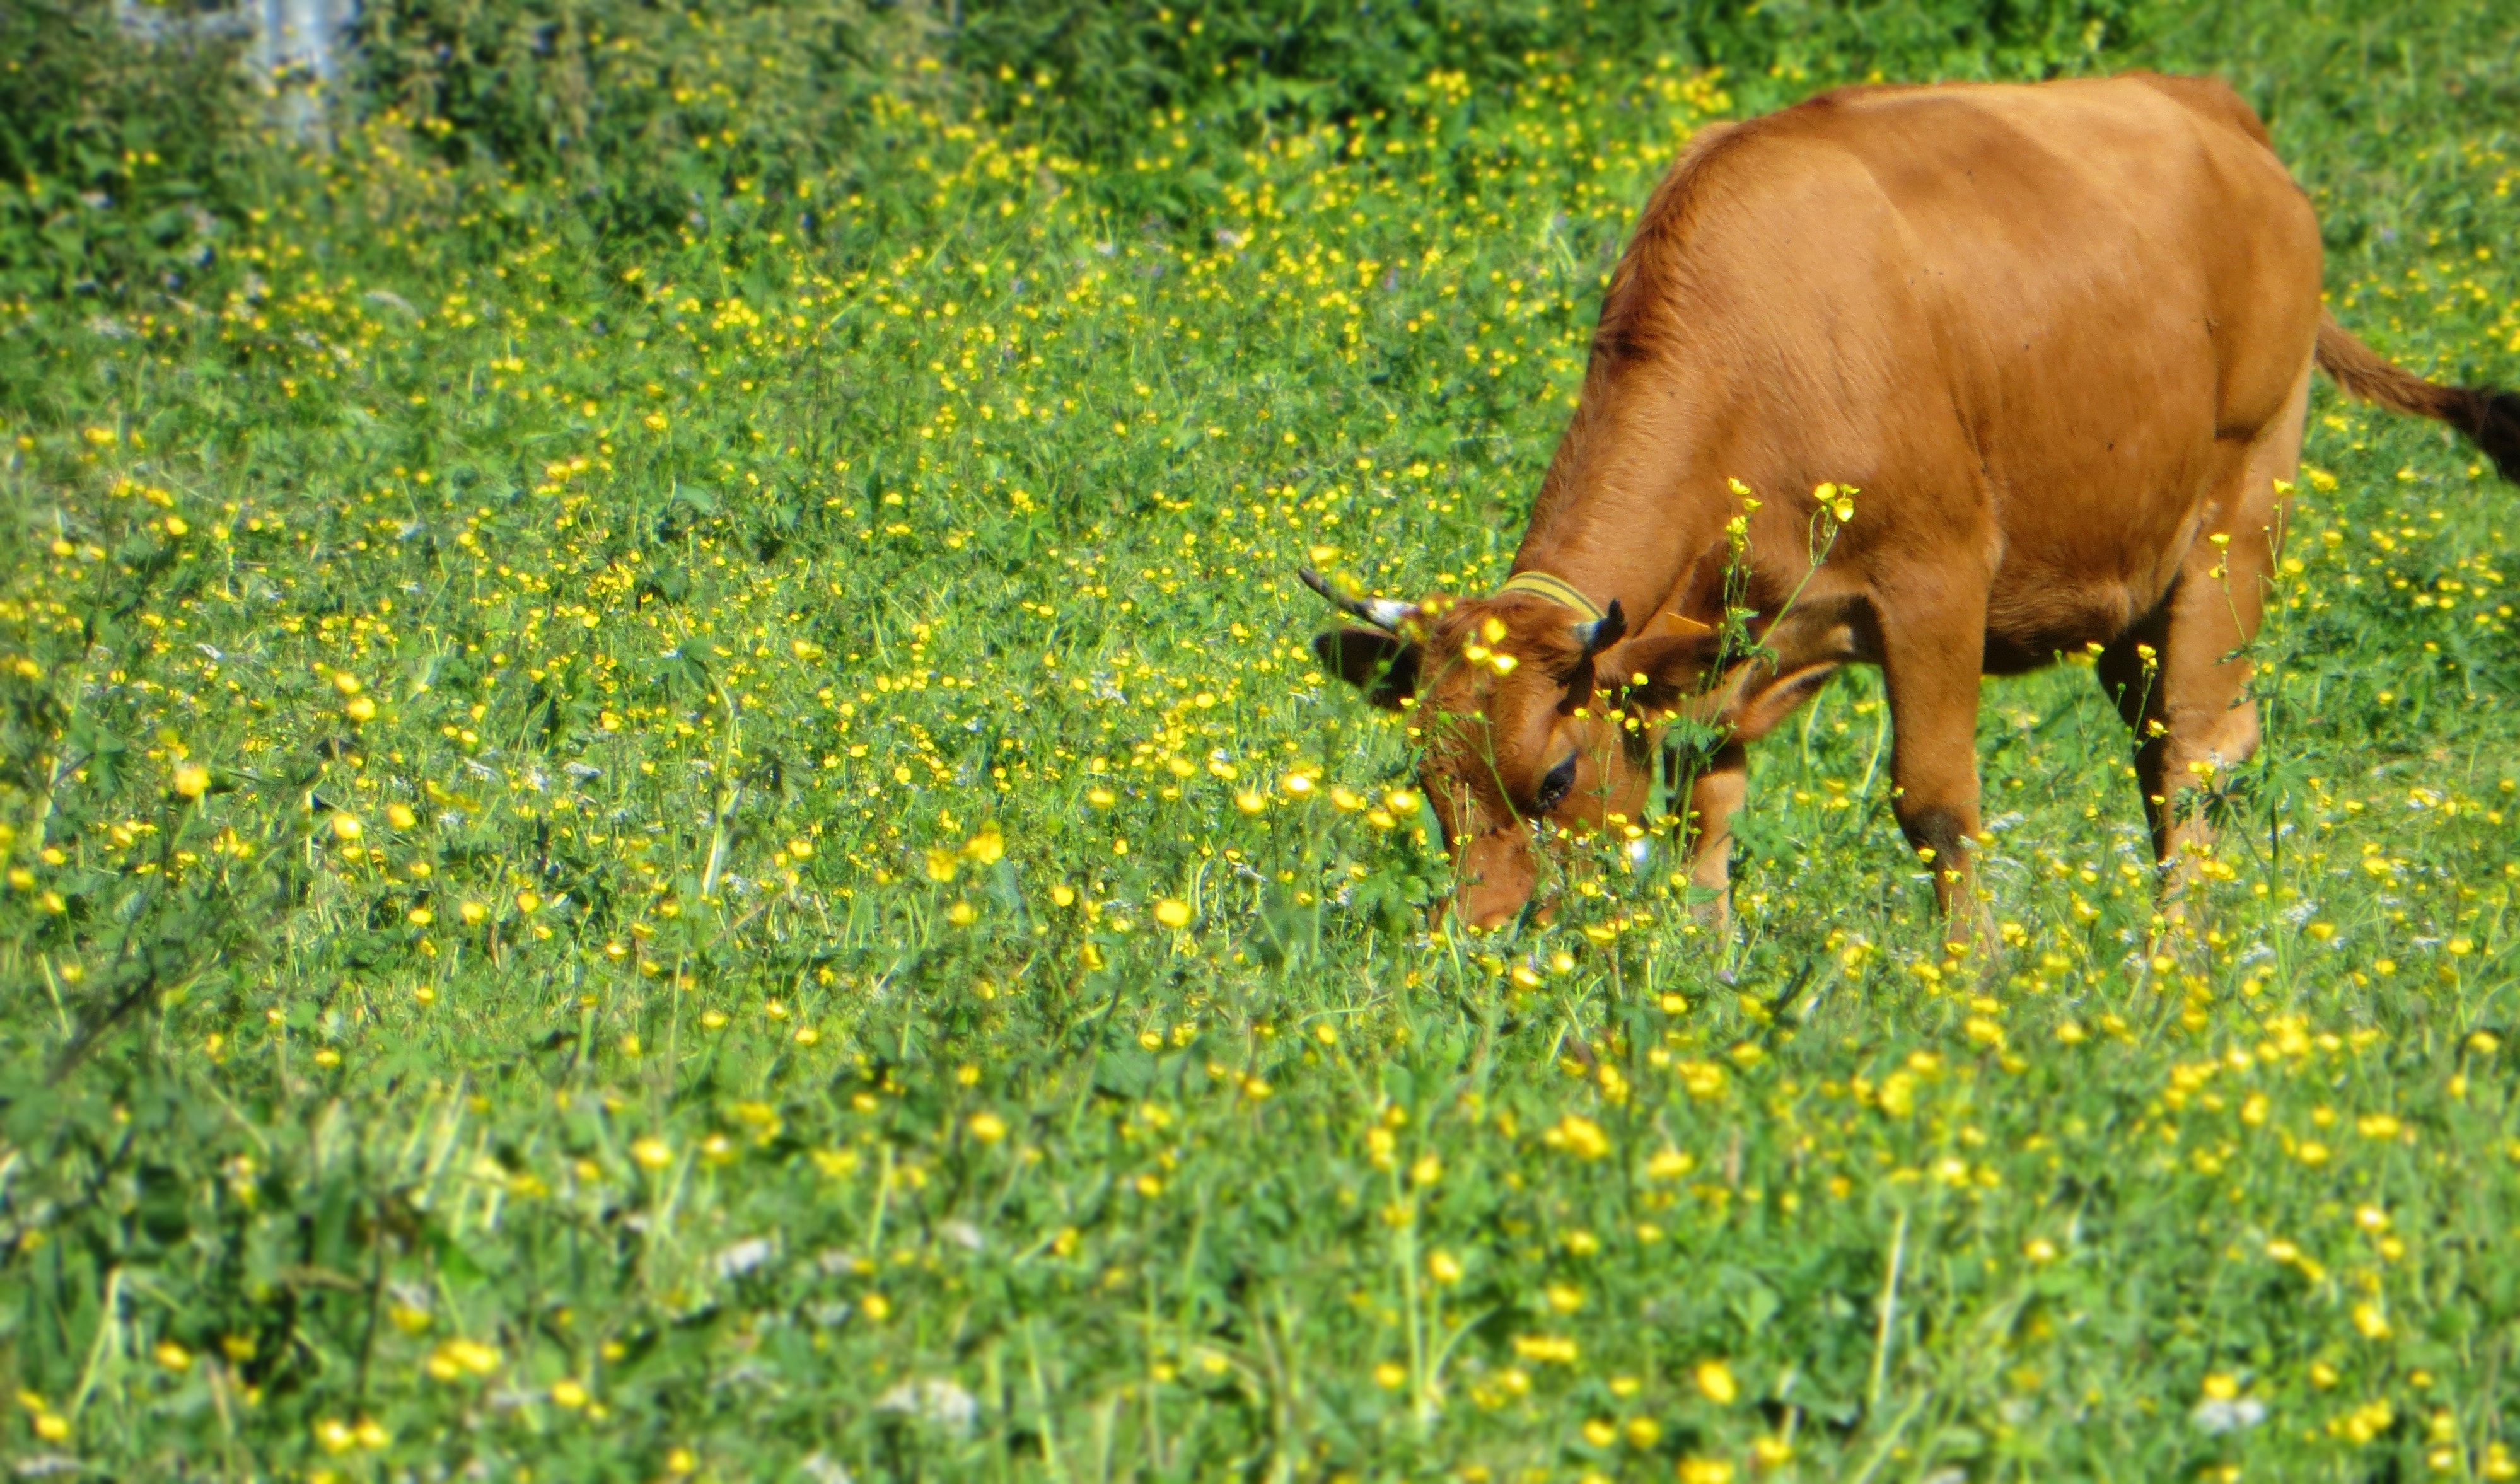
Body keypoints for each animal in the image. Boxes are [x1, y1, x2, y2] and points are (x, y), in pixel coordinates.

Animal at [1310, 72, 2510, 937]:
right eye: (1427, 774)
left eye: (1553, 774)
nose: (1480, 934)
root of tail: (2211, 104)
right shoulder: (1738, 639)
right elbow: (1704, 798)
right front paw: (1701, 965)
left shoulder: (1935, 579)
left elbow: (1935, 806)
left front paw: (1964, 982)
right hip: (2132, 581)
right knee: (2161, 744)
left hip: (2240, 505)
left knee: (2198, 752)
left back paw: (2175, 965)